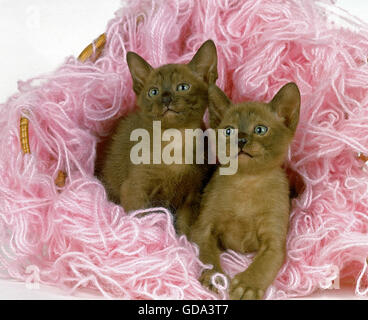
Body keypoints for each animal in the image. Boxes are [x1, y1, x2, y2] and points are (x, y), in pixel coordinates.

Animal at [99, 40, 217, 235]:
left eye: (183, 87)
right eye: (153, 92)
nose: (166, 98)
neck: (176, 140)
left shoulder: (191, 196)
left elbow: (184, 229)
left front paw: (181, 242)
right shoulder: (136, 190)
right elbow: (141, 218)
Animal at [191, 82, 300, 300]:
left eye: (260, 129)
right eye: (229, 131)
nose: (240, 139)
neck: (247, 181)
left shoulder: (273, 242)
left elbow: (262, 265)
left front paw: (247, 286)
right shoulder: (204, 229)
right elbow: (208, 256)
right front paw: (214, 277)